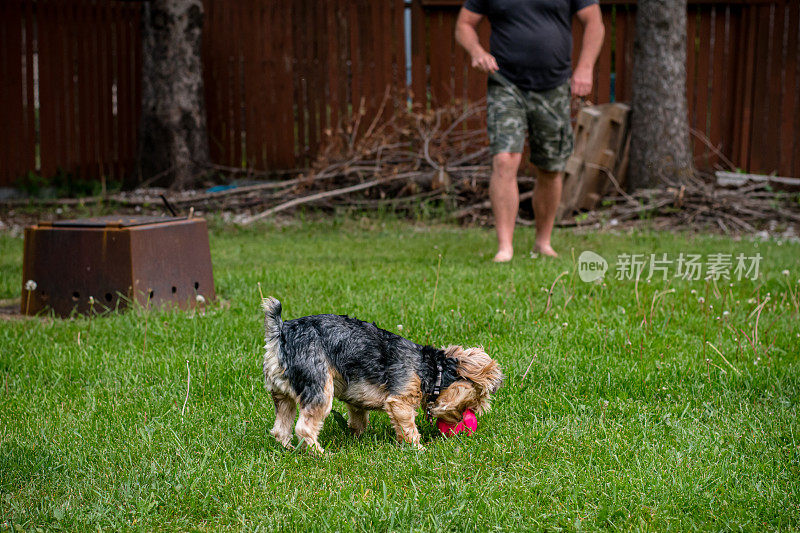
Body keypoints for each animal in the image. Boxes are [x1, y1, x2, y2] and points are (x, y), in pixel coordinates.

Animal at [262, 298, 500, 450]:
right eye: (472, 403)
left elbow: (359, 419)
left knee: (281, 428)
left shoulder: (356, 398)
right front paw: (419, 449)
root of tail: (280, 334)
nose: (463, 420)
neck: (431, 369)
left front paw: (357, 438)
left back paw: (288, 449)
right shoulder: (401, 400)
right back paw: (320, 453)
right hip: (318, 385)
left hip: (282, 394)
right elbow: (408, 427)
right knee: (304, 428)